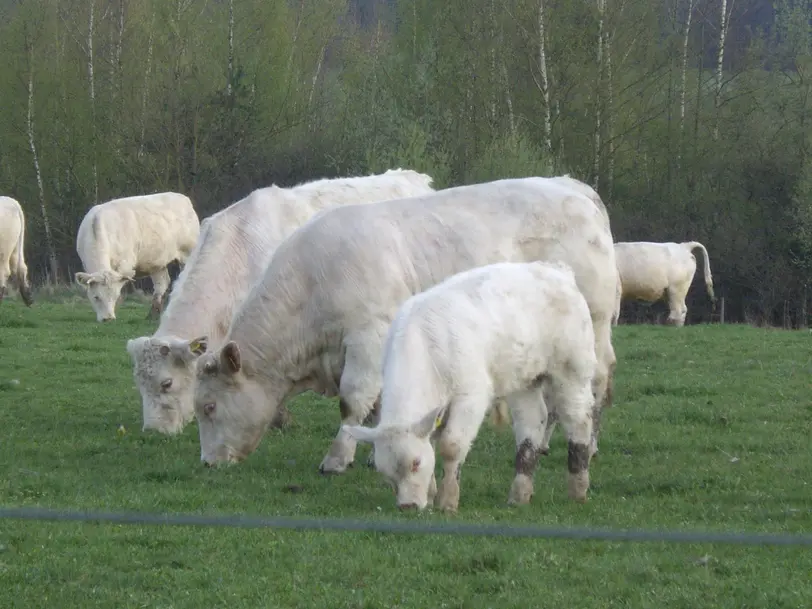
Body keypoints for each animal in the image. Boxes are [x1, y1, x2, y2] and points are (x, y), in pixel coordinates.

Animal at [74, 194, 200, 324]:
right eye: (96, 297)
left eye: (115, 296)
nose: (108, 319)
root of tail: (182, 197)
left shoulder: (125, 266)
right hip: (157, 262)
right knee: (162, 283)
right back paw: (153, 315)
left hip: (188, 253)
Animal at [190, 175, 620, 470]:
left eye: (209, 407)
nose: (208, 462)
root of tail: (575, 189)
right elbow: (380, 404)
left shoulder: (367, 337)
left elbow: (353, 401)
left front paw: (337, 459)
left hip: (592, 329)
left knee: (594, 386)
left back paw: (590, 445)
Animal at [342, 258, 596, 510]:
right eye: (386, 474)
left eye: (416, 462)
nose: (407, 506)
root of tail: (557, 270)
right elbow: (432, 441)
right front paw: (432, 494)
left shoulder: (471, 396)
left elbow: (451, 445)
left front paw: (447, 500)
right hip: (524, 379)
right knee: (532, 421)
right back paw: (519, 494)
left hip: (573, 369)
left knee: (578, 418)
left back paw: (578, 489)